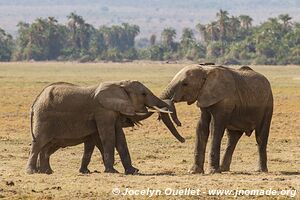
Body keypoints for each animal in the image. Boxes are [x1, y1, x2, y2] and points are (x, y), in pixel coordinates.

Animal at [26, 80, 185, 174]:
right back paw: (32, 172)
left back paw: (47, 172)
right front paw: (112, 171)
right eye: (143, 94)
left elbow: (120, 139)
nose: (183, 140)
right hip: (44, 117)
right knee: (39, 143)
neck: (120, 85)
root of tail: (35, 102)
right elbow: (108, 137)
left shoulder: (112, 112)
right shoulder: (103, 111)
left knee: (45, 146)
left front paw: (133, 171)